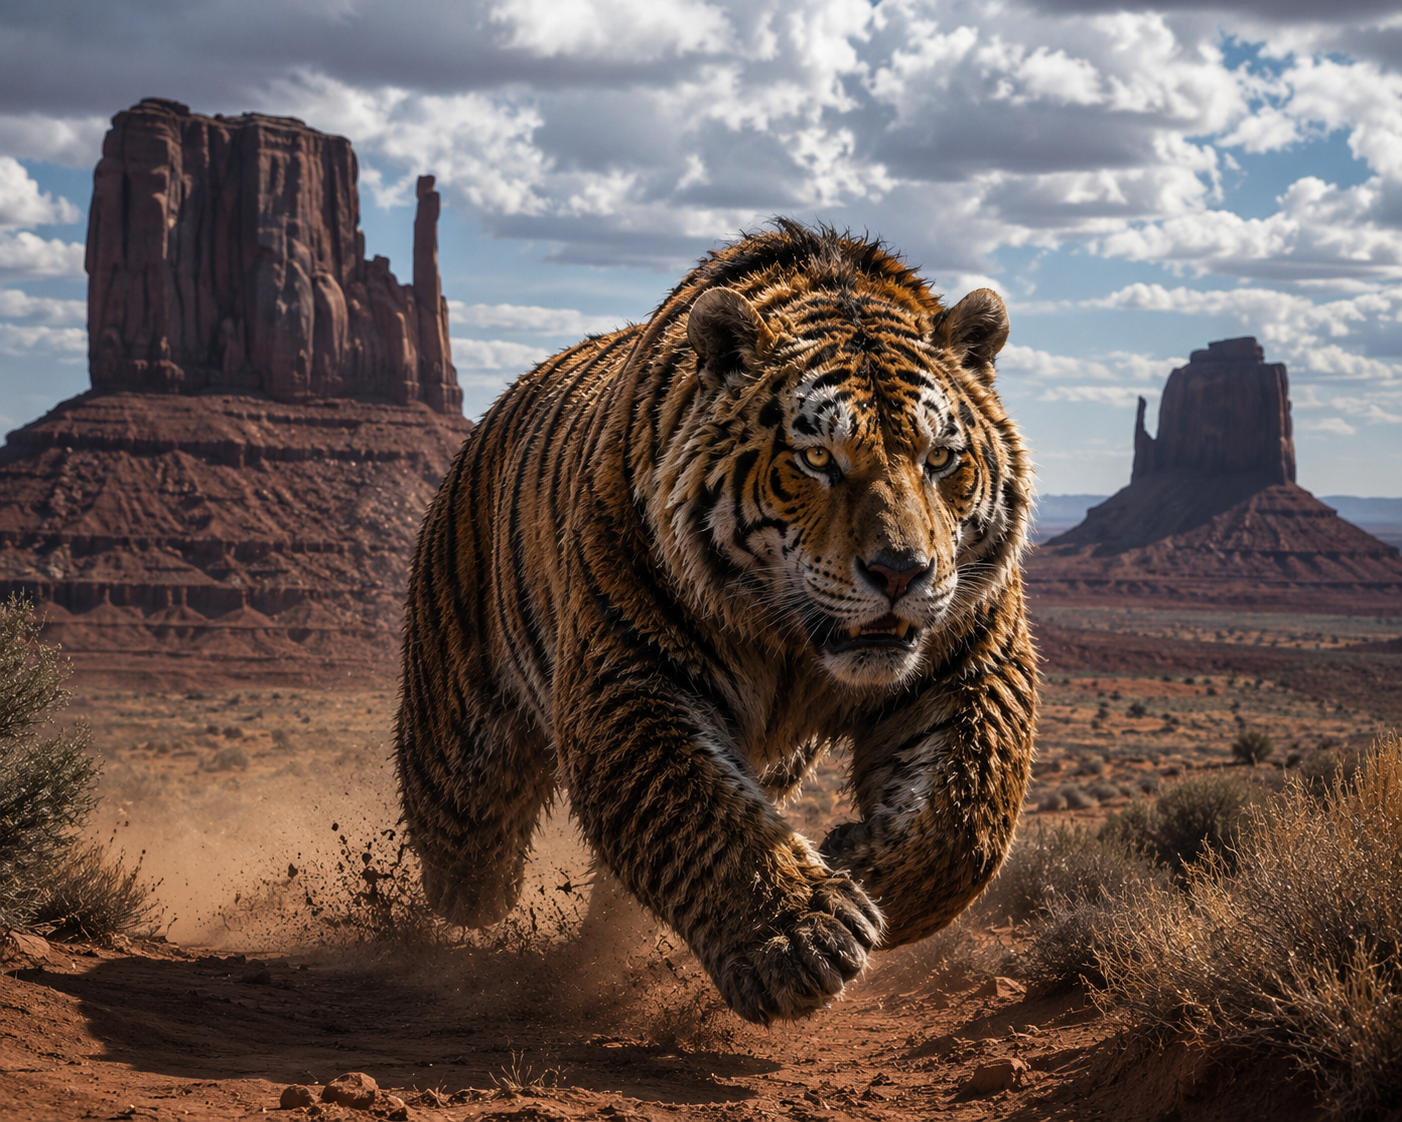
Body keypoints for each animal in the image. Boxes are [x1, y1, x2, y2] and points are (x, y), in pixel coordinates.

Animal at [395, 220, 1037, 1025]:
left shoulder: (971, 659)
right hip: (462, 755)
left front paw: (863, 860)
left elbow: (969, 817)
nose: (900, 572)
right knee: (468, 861)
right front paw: (800, 941)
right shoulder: (634, 675)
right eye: (818, 458)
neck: (798, 652)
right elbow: (699, 812)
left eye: (941, 459)